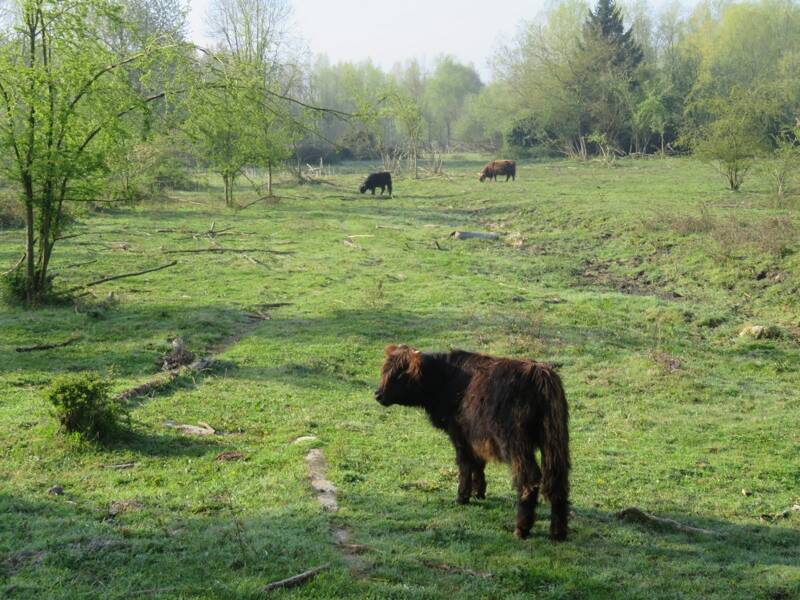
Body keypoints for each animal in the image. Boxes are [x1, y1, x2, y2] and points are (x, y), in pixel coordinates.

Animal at [374, 344, 568, 540]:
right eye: (385, 370)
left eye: (399, 374)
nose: (378, 394)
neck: (446, 377)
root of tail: (539, 372)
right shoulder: (475, 438)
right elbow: (478, 464)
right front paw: (478, 492)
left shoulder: (459, 434)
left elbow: (465, 464)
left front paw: (462, 497)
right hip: (555, 443)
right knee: (558, 480)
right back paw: (557, 532)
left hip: (516, 444)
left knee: (529, 479)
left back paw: (521, 529)